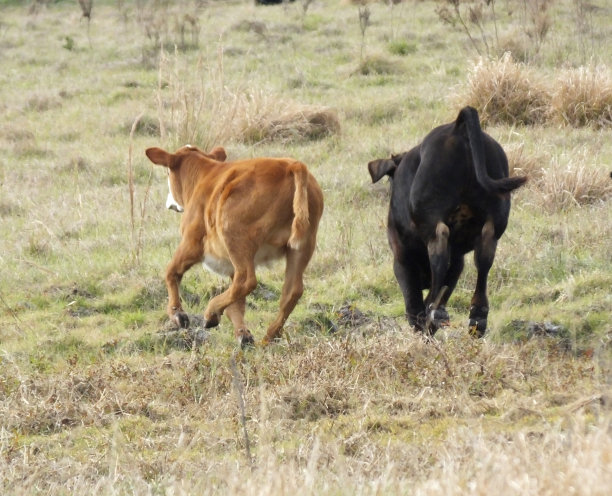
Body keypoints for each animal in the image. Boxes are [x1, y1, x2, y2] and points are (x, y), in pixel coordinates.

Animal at [145, 143, 326, 344]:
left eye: (168, 172)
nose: (169, 202)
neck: (203, 176)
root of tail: (291, 165)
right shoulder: (230, 265)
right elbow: (236, 305)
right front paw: (243, 335)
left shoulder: (192, 242)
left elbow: (171, 272)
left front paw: (177, 314)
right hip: (302, 245)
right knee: (291, 291)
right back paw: (269, 337)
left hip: (234, 236)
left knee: (247, 281)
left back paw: (211, 312)